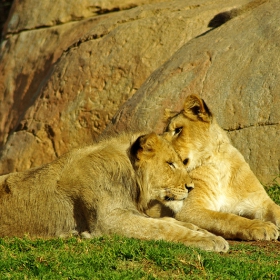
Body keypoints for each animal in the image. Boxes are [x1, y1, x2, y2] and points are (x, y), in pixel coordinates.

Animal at [0, 132, 230, 253]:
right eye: (170, 164)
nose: (191, 187)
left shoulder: (127, 210)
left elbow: (169, 221)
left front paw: (203, 232)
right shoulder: (108, 221)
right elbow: (162, 228)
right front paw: (211, 240)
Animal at [163, 94, 280, 241]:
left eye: (178, 130)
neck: (219, 165)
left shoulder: (259, 201)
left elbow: (276, 209)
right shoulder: (187, 209)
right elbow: (226, 218)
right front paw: (261, 226)